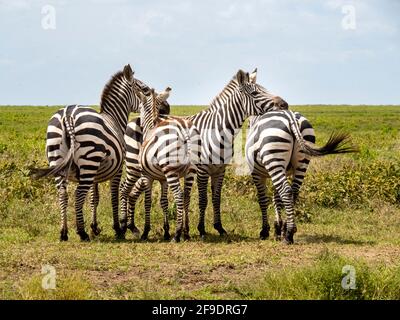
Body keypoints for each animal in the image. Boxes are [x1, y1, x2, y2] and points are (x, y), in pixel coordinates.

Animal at [29, 63, 164, 241]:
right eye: (146, 90)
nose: (165, 108)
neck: (114, 119)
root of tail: (68, 115)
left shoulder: (95, 173)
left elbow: (94, 197)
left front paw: (94, 227)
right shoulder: (117, 168)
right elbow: (114, 196)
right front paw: (117, 228)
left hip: (59, 156)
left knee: (63, 194)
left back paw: (64, 232)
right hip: (88, 160)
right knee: (78, 195)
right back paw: (82, 232)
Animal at [121, 69, 290, 239]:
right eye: (255, 93)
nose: (285, 104)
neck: (218, 131)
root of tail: (135, 119)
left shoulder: (220, 170)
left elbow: (216, 199)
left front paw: (219, 227)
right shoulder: (202, 169)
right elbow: (203, 199)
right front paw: (201, 229)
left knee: (133, 192)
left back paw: (132, 227)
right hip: (134, 166)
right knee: (125, 188)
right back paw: (125, 225)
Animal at [247, 109, 356, 244]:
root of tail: (291, 117)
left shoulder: (257, 173)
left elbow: (263, 199)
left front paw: (265, 231)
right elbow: (276, 198)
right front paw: (278, 228)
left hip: (274, 157)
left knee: (286, 191)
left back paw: (288, 234)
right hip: (301, 162)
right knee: (293, 192)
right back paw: (288, 230)